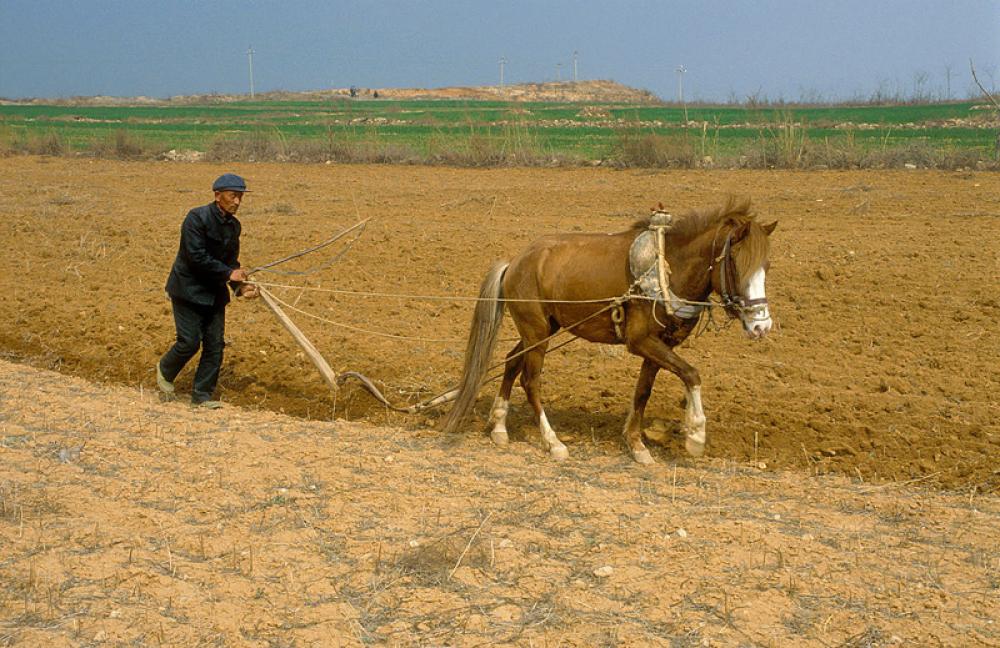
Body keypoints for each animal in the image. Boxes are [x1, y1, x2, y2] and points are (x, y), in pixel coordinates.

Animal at [442, 195, 776, 464]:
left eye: (766, 266)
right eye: (737, 264)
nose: (761, 325)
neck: (668, 268)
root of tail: (515, 262)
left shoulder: (660, 344)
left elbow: (643, 391)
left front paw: (636, 444)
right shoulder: (640, 340)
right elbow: (692, 374)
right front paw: (695, 436)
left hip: (539, 330)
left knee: (511, 362)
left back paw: (499, 427)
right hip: (535, 331)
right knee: (530, 380)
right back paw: (553, 442)